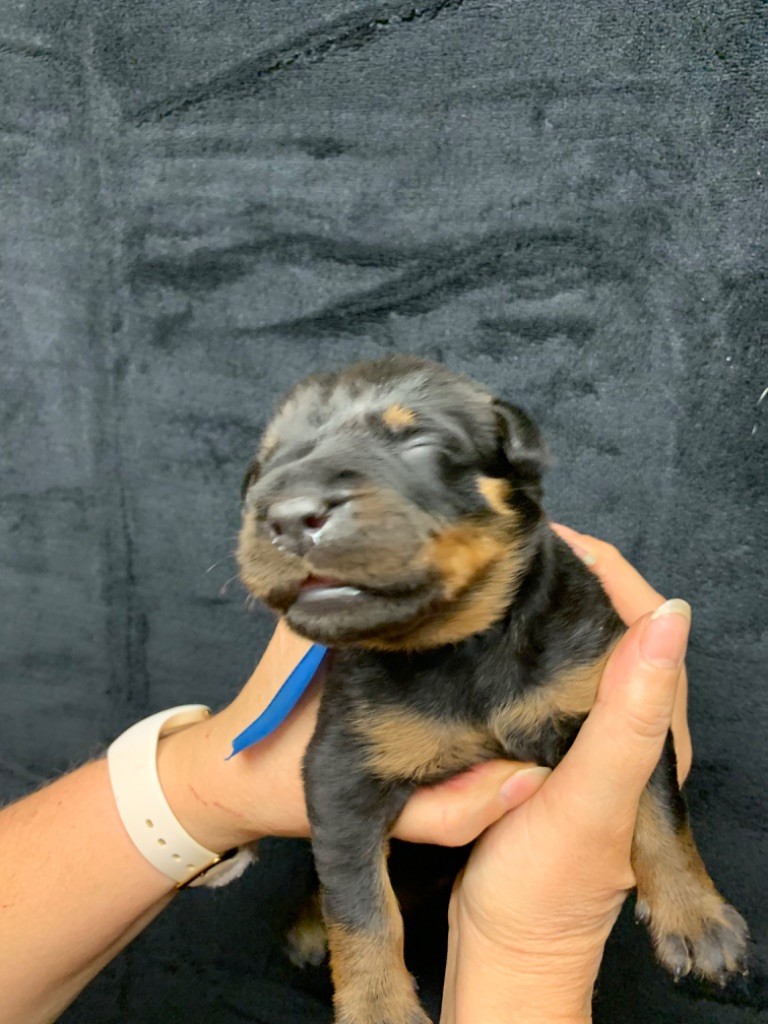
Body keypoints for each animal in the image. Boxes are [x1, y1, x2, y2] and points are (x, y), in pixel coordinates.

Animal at [237, 355, 748, 1024]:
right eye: (263, 467)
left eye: (420, 443)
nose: (291, 514)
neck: (461, 643)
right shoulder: (340, 771)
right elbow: (358, 901)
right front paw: (378, 1006)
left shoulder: (599, 686)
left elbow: (662, 810)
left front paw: (697, 918)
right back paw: (306, 927)